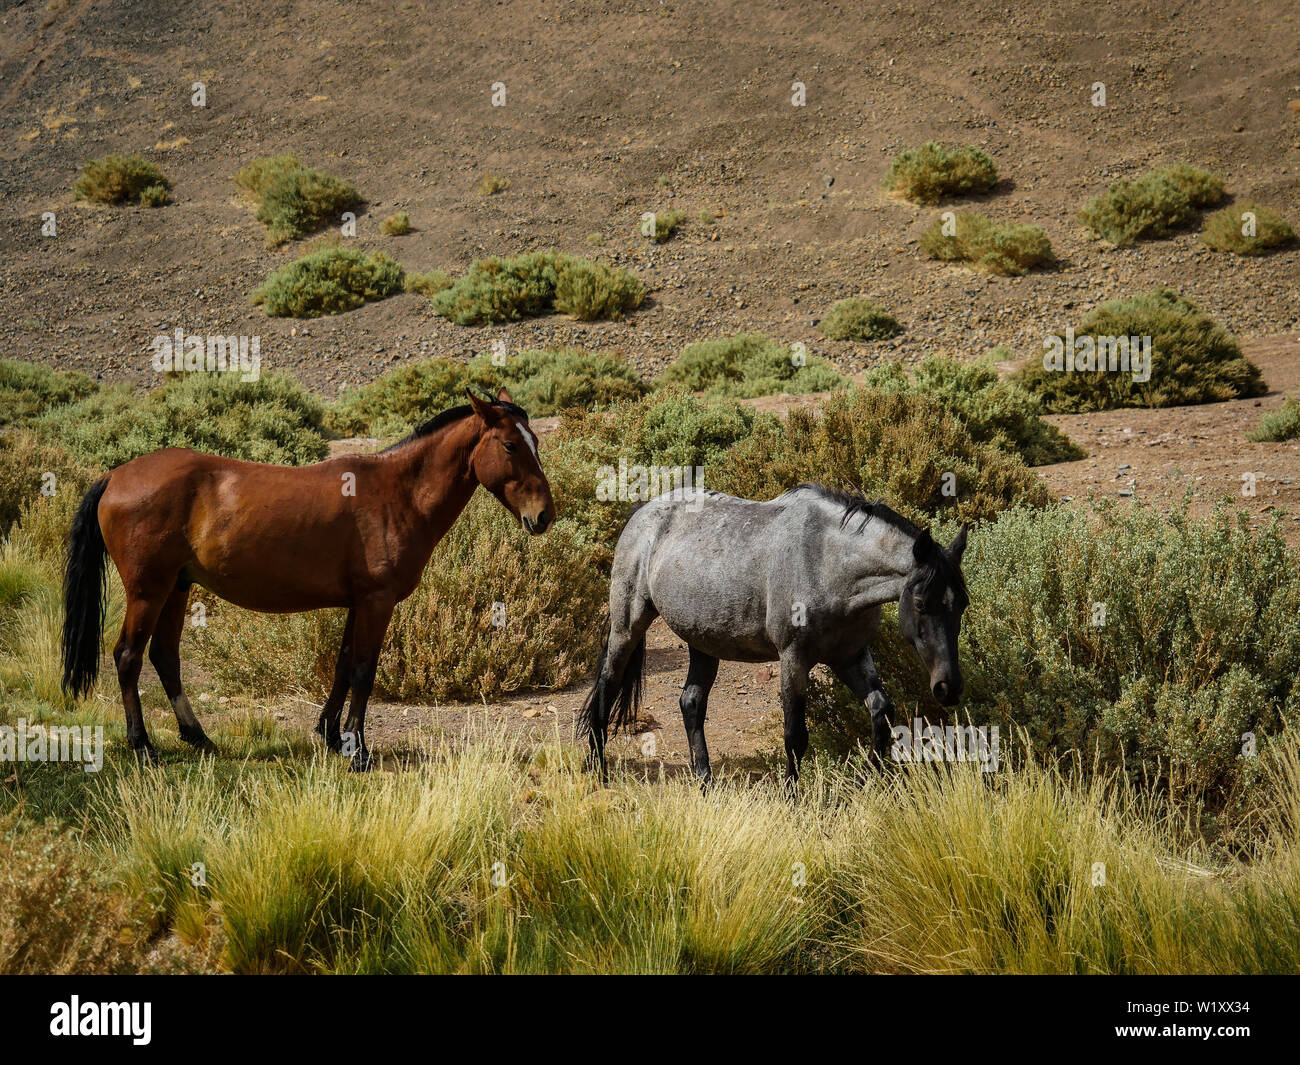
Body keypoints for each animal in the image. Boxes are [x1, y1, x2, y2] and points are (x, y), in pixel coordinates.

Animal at [61, 388, 554, 770]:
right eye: (511, 445)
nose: (544, 516)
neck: (398, 493)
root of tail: (114, 475)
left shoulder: (359, 602)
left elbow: (342, 666)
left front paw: (333, 736)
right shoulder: (377, 602)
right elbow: (364, 671)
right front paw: (358, 752)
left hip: (177, 588)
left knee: (165, 658)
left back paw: (198, 736)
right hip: (149, 590)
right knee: (128, 657)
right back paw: (144, 747)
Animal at [578, 483, 969, 784]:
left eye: (962, 603)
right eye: (921, 603)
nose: (948, 688)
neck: (828, 563)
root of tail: (643, 512)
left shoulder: (850, 656)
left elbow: (881, 714)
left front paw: (871, 780)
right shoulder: (794, 658)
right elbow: (795, 736)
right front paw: (792, 800)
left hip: (703, 641)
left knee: (691, 703)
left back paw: (706, 783)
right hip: (628, 626)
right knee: (607, 687)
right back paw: (599, 772)